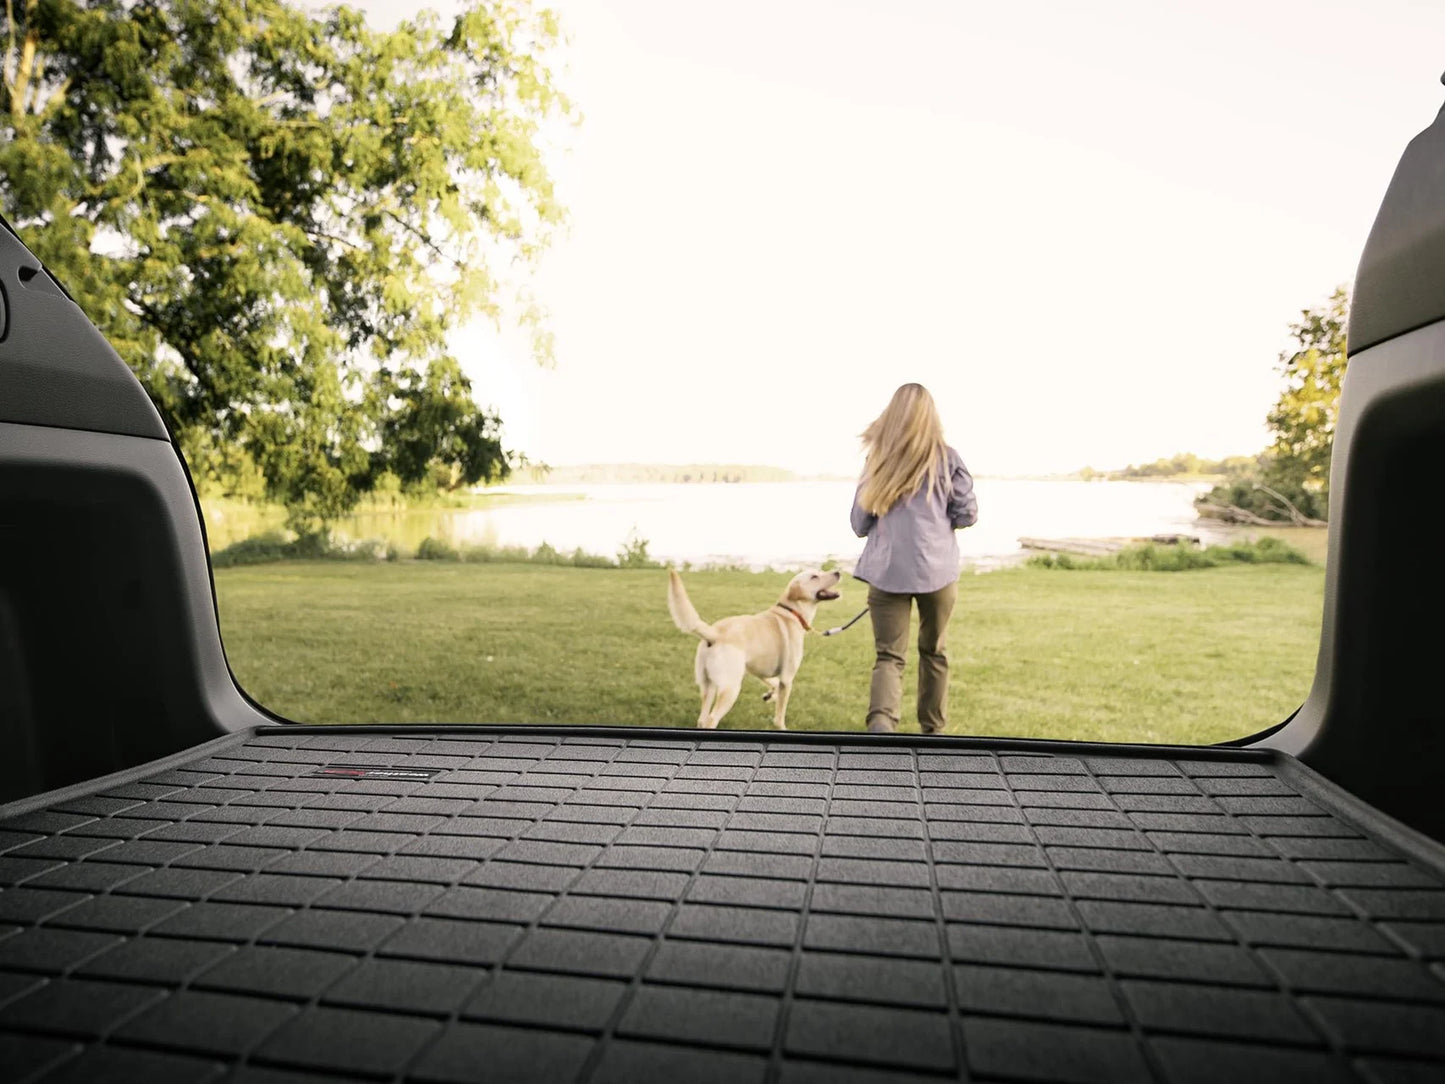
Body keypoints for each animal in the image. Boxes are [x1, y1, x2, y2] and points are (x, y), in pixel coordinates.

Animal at [670, 569, 843, 731]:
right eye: (814, 577)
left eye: (820, 571)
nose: (838, 572)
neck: (790, 611)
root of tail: (714, 632)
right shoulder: (787, 679)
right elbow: (779, 717)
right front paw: (781, 725)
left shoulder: (759, 669)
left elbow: (773, 683)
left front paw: (769, 696)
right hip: (731, 689)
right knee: (711, 719)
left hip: (709, 686)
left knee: (702, 719)